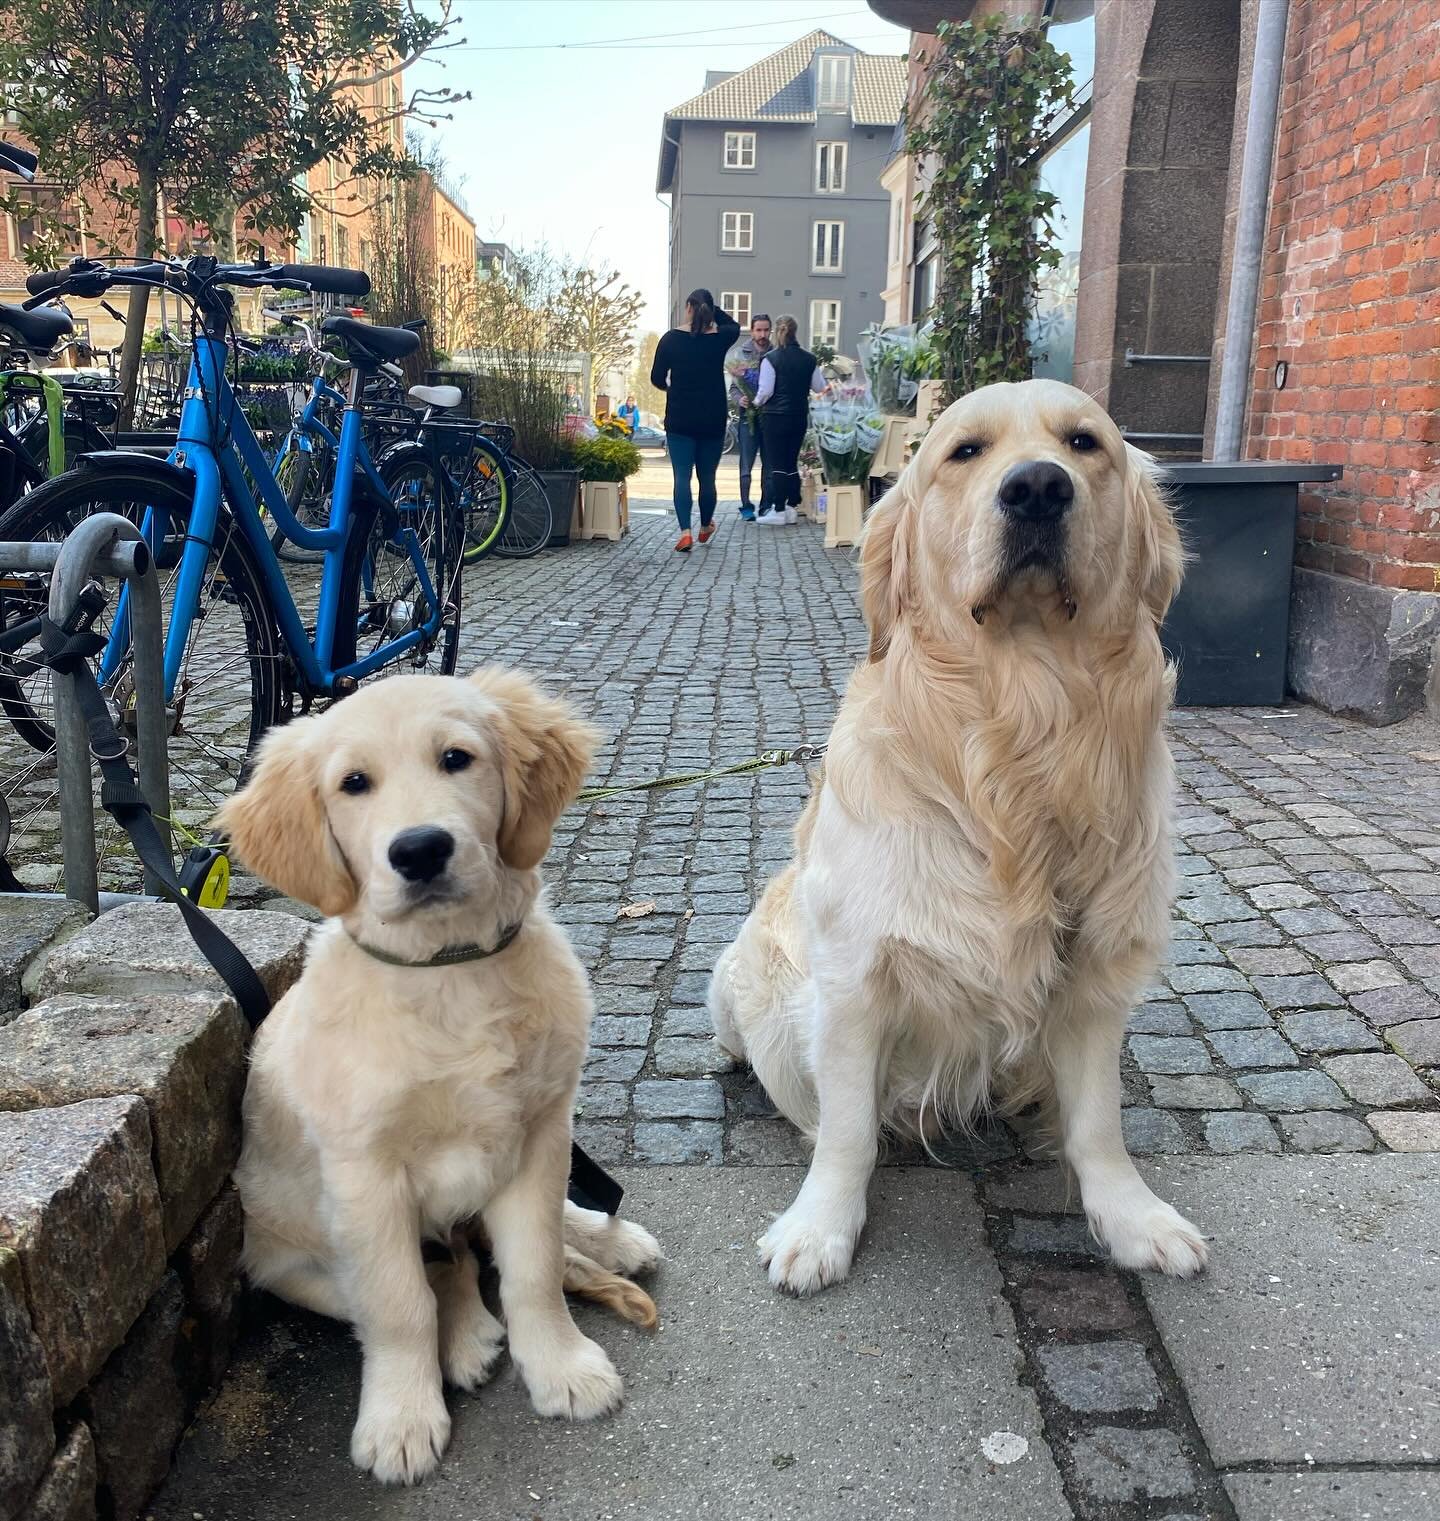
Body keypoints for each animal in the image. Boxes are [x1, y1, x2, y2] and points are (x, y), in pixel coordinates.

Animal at [218, 672, 662, 1478]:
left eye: (456, 758)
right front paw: (401, 1417)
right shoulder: (366, 1175)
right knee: (430, 1268)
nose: (420, 850)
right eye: (353, 783)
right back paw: (465, 1338)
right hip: (290, 1259)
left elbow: (533, 1266)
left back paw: (604, 1237)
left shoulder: (541, 1130)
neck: (450, 972)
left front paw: (561, 1365)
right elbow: (401, 1304)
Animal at [711, 380, 1204, 1295]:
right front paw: (820, 1226)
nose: (1038, 488)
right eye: (964, 451)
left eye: (1085, 443)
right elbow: (848, 1131)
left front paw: (1132, 1216)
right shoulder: (855, 978)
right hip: (734, 976)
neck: (1021, 725)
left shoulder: (1096, 972)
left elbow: (1098, 1123)